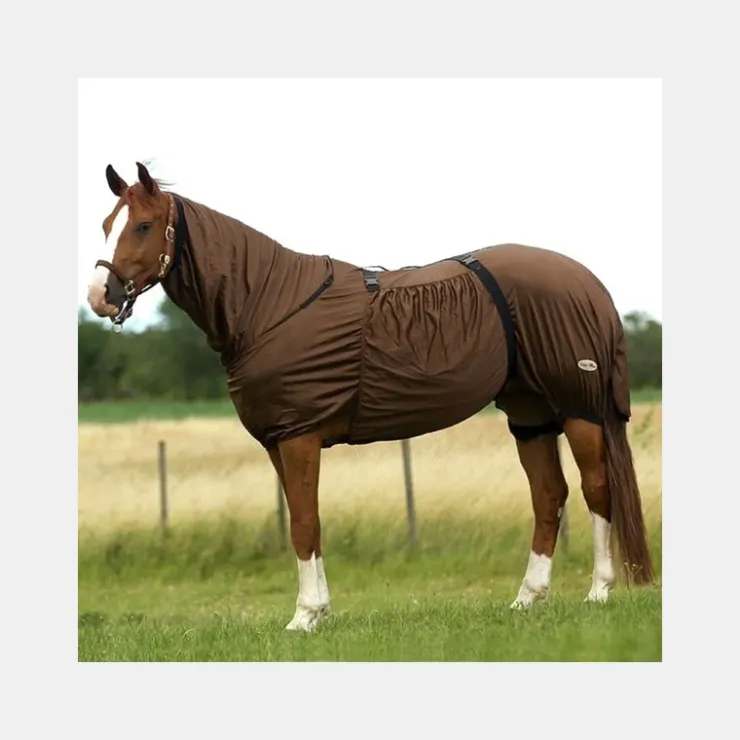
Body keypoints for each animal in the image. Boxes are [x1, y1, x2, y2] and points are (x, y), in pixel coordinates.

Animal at [86, 161, 655, 632]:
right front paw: (318, 610)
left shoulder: (298, 437)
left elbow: (304, 523)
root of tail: (587, 282)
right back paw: (527, 598)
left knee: (596, 490)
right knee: (549, 496)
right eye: (107, 224)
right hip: (530, 414)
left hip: (579, 410)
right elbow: (304, 522)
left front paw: (304, 617)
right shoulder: (279, 441)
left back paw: (599, 592)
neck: (268, 304)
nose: (100, 297)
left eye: (143, 225)